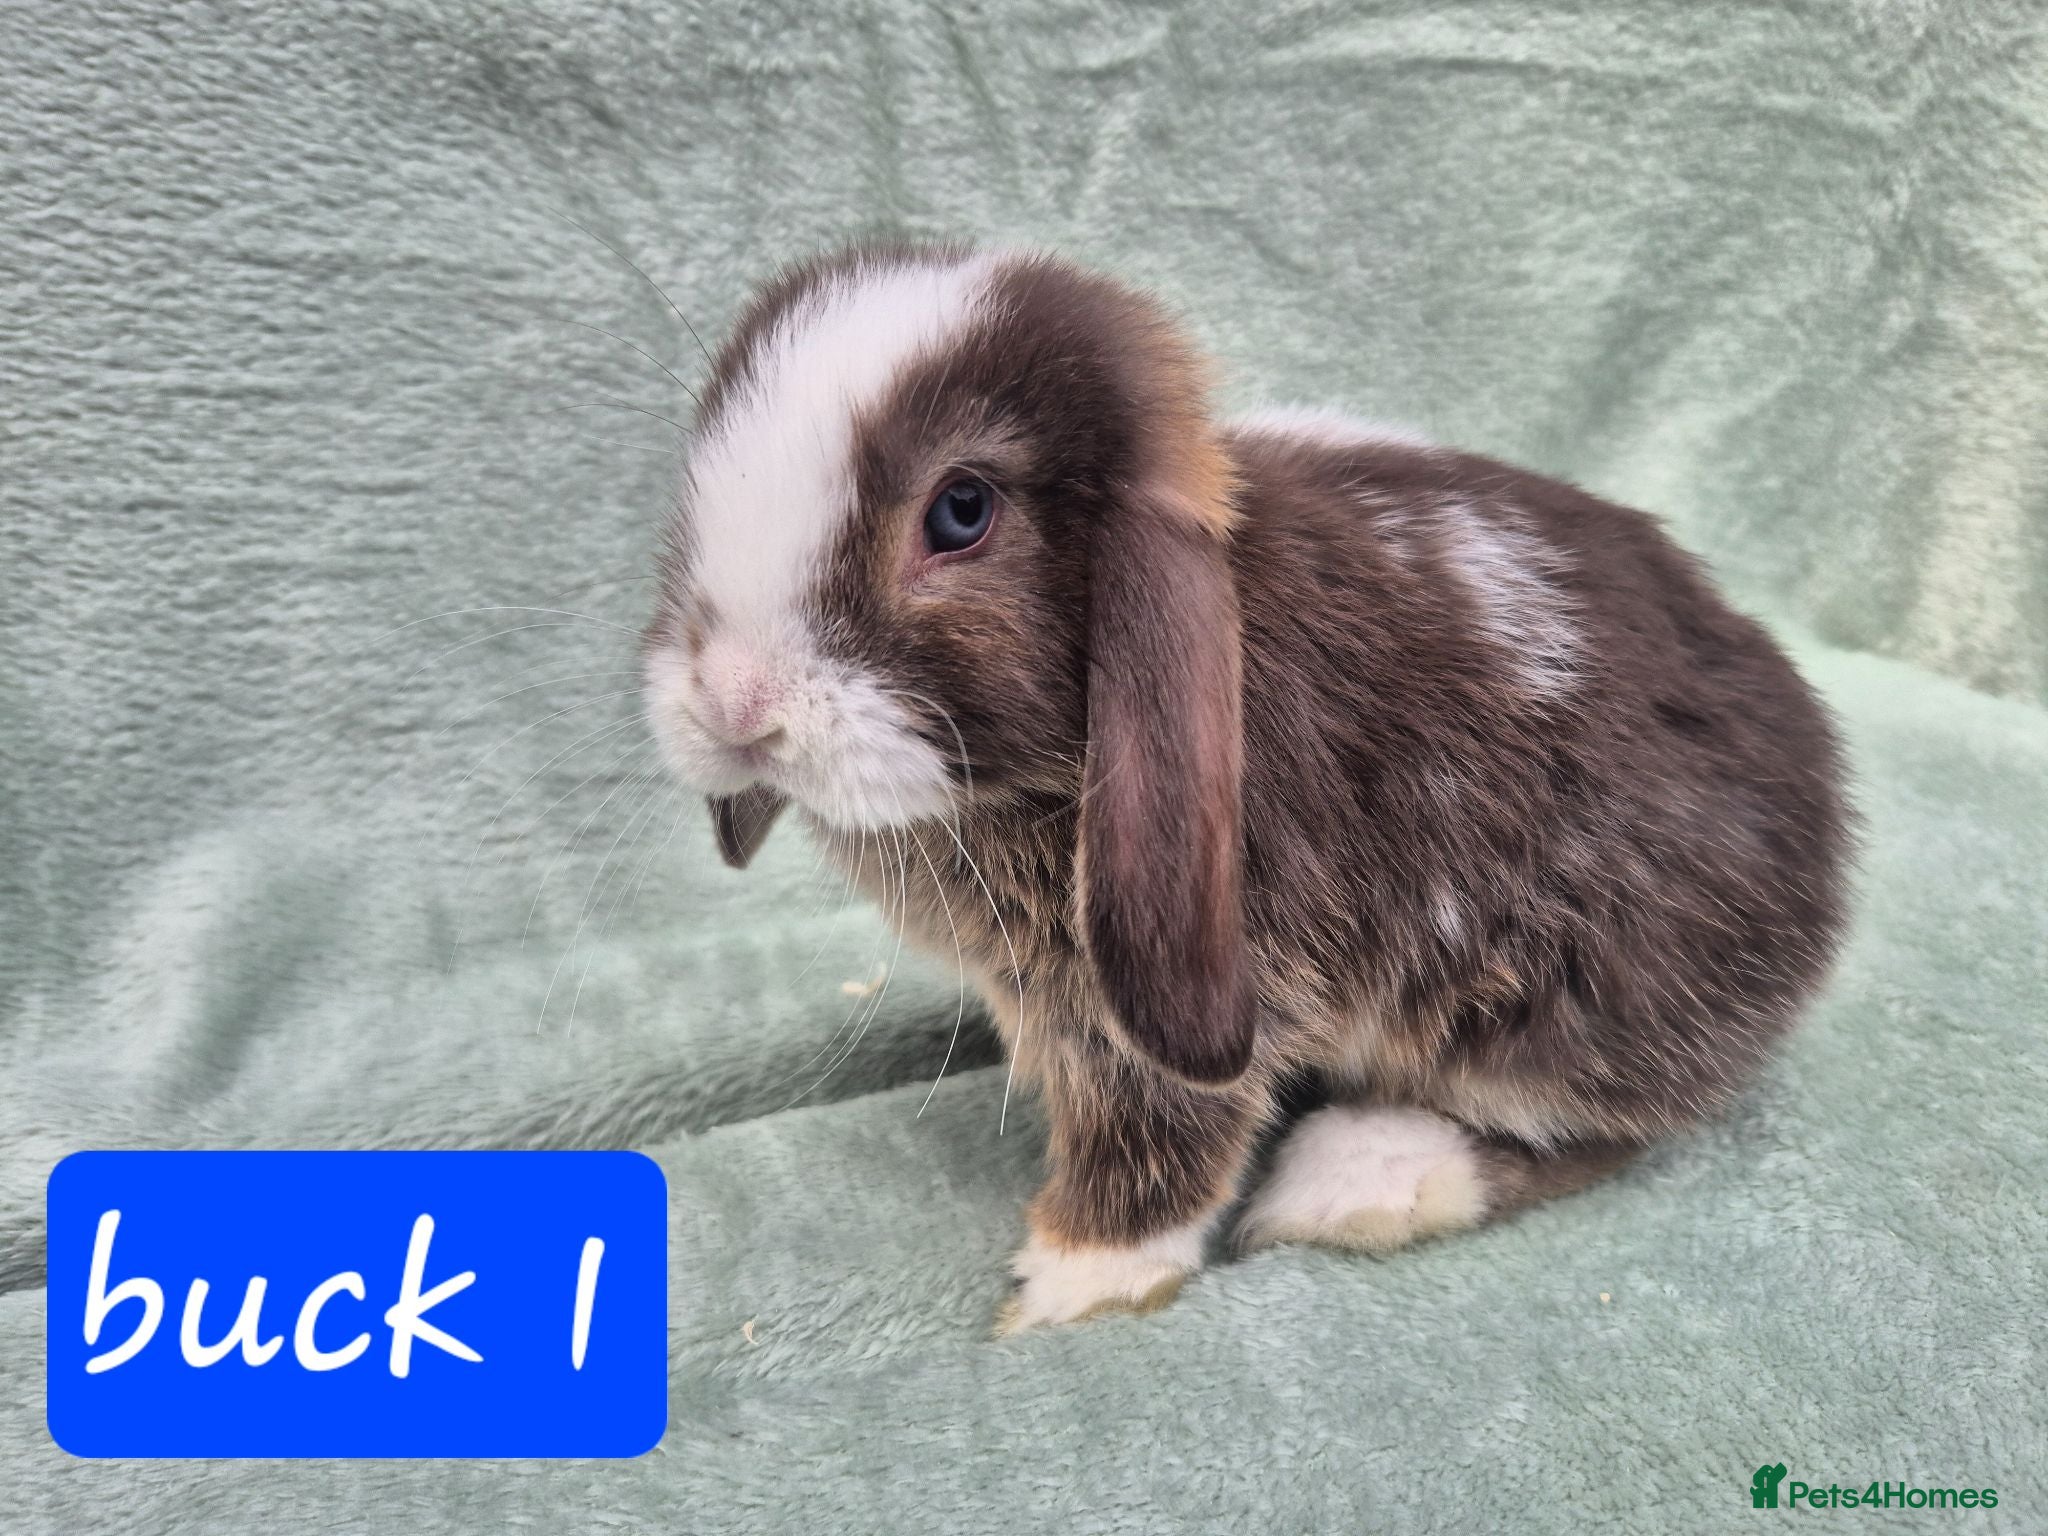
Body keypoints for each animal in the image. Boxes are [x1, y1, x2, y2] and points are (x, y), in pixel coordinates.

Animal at [641, 242, 1851, 1333]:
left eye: (962, 511)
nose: (733, 703)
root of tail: (1823, 813)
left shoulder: (1183, 990)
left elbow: (1162, 1132)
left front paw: (1071, 1284)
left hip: (1556, 999)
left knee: (1606, 1124)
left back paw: (1361, 1180)